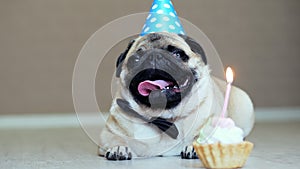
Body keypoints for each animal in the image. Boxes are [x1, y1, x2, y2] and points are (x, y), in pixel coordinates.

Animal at [98, 32, 253, 160]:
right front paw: (118, 148)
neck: (165, 117)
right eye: (135, 60)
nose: (154, 56)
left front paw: (195, 147)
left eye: (177, 54)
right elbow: (116, 139)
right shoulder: (108, 134)